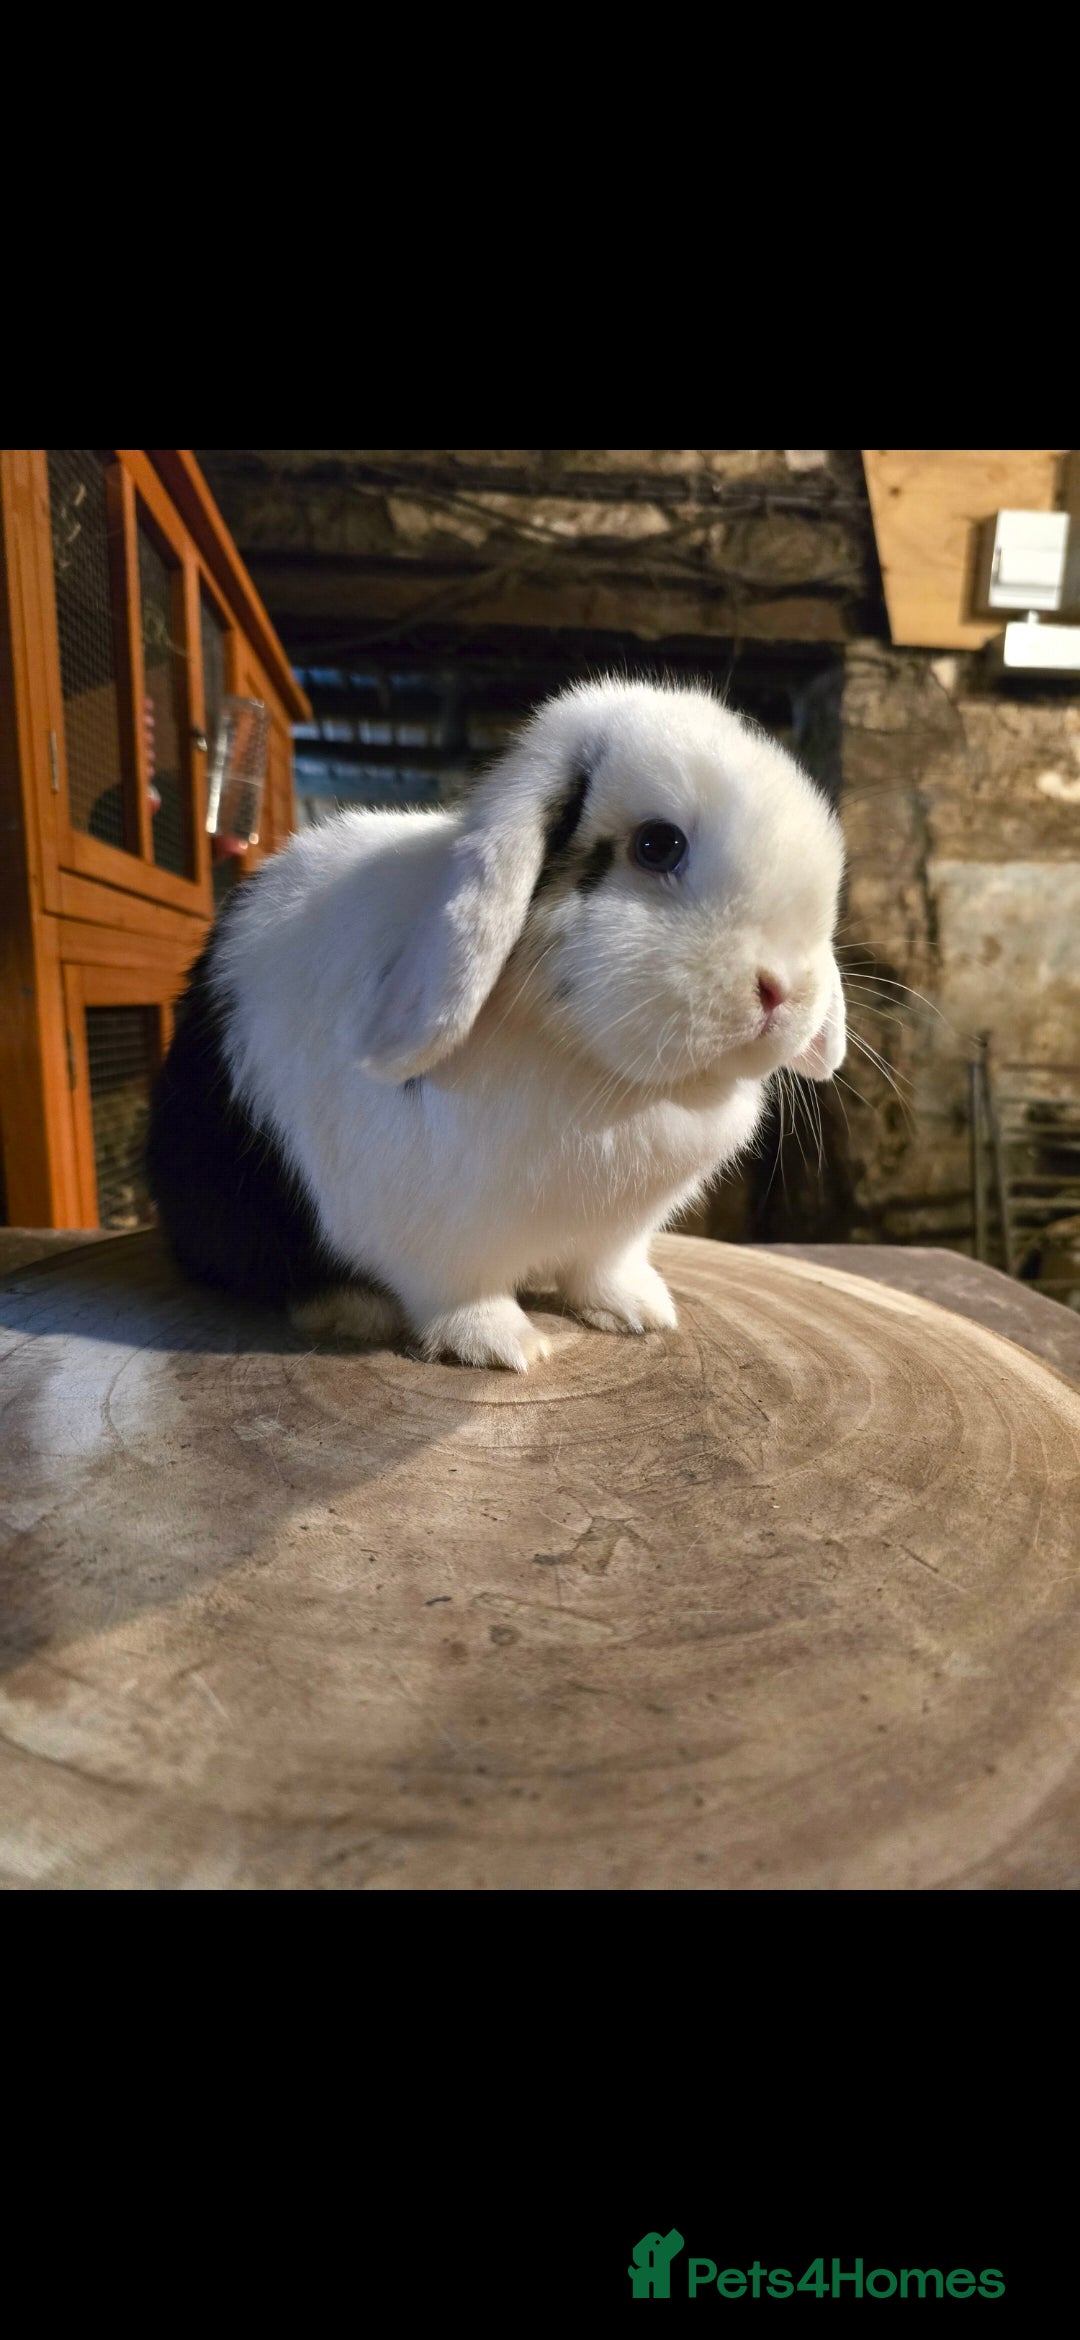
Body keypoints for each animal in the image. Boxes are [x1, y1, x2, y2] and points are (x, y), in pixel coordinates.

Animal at [147, 677, 846, 1371]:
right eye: (658, 844)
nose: (782, 990)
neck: (597, 1076)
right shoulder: (435, 1243)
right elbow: (463, 1295)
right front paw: (507, 1348)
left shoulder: (614, 1236)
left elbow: (603, 1270)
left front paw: (639, 1314)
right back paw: (354, 1310)